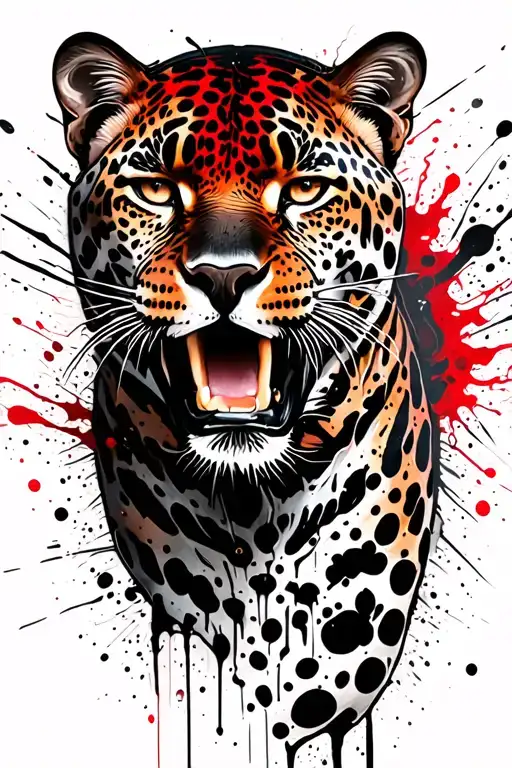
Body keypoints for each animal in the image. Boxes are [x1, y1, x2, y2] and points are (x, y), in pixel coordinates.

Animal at [53, 29, 439, 767]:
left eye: (306, 188)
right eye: (155, 188)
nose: (223, 276)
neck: (254, 507)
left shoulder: (351, 653)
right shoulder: (186, 618)